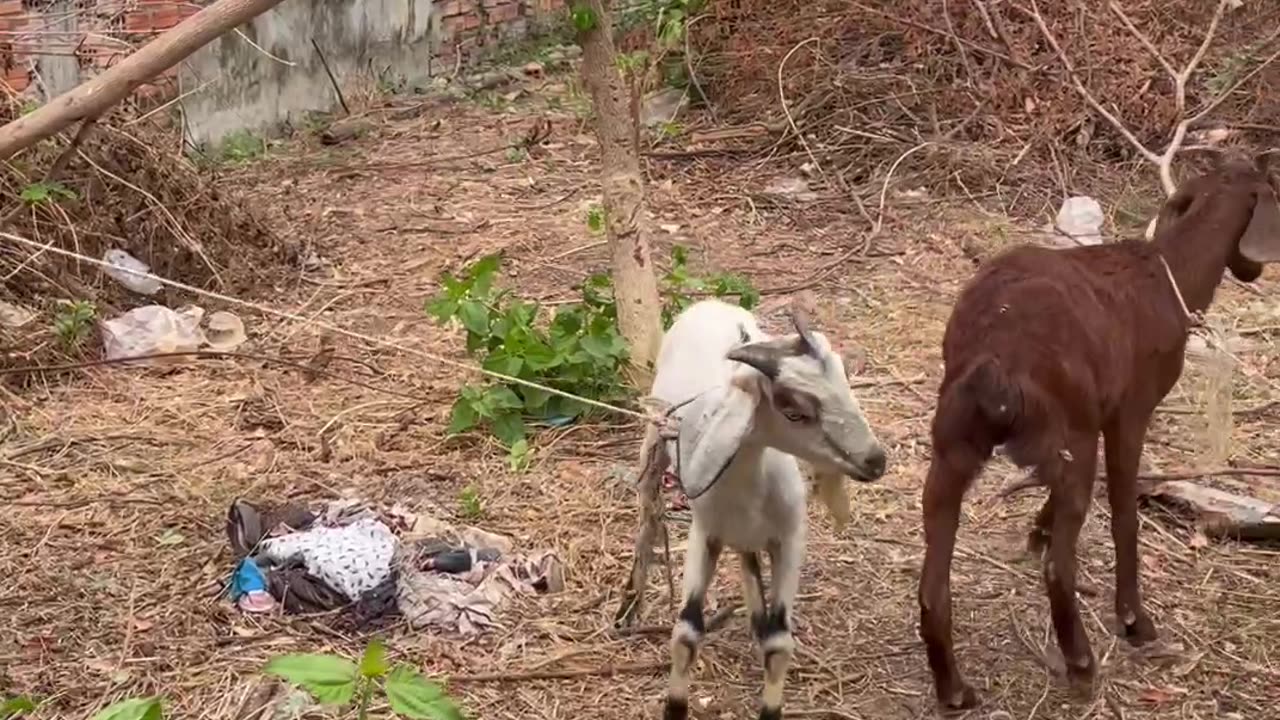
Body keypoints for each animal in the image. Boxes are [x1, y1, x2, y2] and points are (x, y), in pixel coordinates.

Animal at [916, 148, 1274, 707]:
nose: (1254, 270)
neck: (1171, 275)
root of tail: (996, 360)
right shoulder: (1130, 413)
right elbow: (1125, 514)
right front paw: (1135, 621)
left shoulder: (1096, 419)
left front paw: (1036, 529)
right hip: (1066, 438)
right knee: (1060, 566)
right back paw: (1082, 664)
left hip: (957, 444)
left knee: (933, 582)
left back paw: (955, 690)